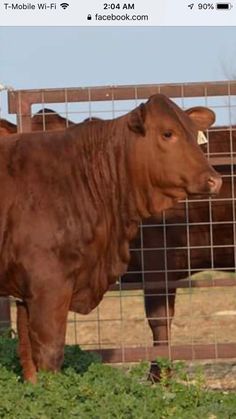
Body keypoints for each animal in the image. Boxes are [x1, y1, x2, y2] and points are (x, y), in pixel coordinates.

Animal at [0, 95, 221, 384]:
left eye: (196, 135)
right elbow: (49, 353)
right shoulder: (48, 285)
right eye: (168, 133)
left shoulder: (26, 292)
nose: (215, 180)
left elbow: (27, 353)